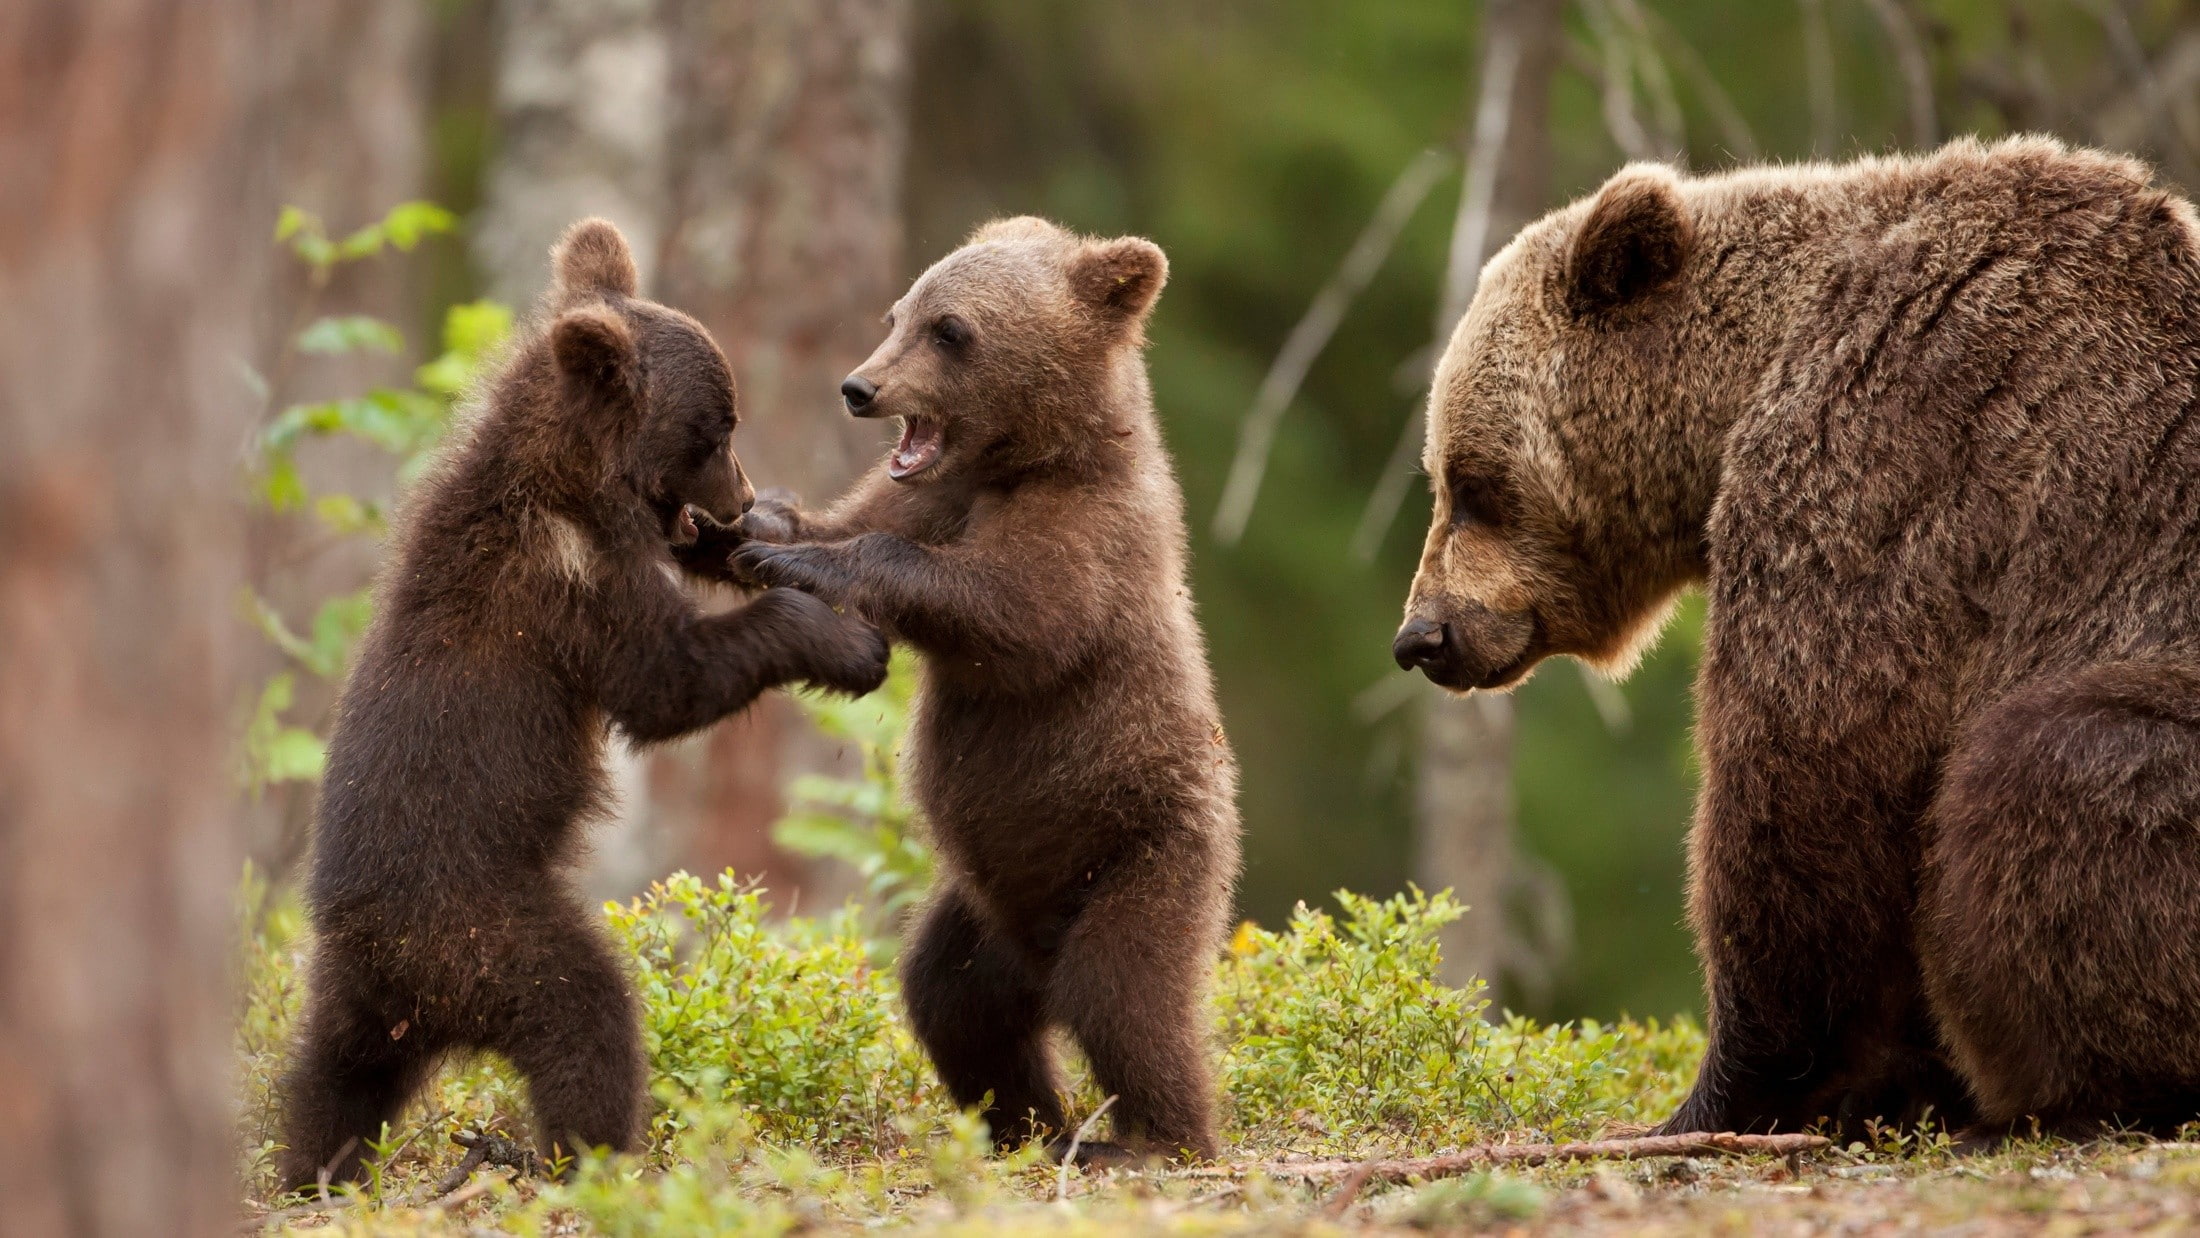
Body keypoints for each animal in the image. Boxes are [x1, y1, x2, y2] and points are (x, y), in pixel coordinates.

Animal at [274, 218, 890, 1194]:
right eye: (717, 427)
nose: (745, 494)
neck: (574, 483)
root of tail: (393, 969)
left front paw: (772, 540)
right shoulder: (568, 585)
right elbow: (665, 681)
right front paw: (843, 641)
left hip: (355, 998)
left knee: (329, 1080)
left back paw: (313, 1169)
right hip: (485, 931)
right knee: (584, 1014)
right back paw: (589, 1153)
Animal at [722, 216, 1241, 1163]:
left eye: (952, 330)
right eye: (898, 312)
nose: (859, 387)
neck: (1027, 460)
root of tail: (1037, 954)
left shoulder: (1092, 538)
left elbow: (1015, 613)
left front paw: (803, 559)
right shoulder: (931, 493)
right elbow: (856, 521)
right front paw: (763, 522)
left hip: (1144, 852)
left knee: (1125, 994)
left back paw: (1154, 1137)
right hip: (983, 911)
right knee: (952, 1000)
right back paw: (1028, 1125)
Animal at [1392, 136, 2200, 1139]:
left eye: (1471, 483)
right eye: (1442, 475)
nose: (1421, 635)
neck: (1742, 383)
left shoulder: (1890, 457)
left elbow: (1808, 774)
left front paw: (1723, 1095)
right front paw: (1889, 1081)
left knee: (2049, 763)